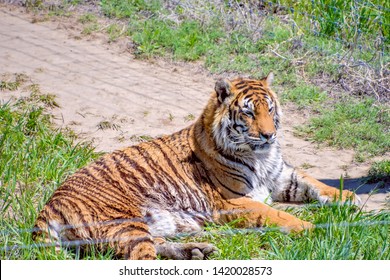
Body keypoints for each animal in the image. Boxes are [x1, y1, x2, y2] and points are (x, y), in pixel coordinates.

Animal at [33, 73, 360, 260]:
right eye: (249, 113)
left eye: (270, 109)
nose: (269, 135)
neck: (261, 156)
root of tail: (49, 205)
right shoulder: (233, 201)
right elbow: (276, 215)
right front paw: (312, 228)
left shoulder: (281, 176)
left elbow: (314, 182)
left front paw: (347, 197)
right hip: (122, 220)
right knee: (140, 257)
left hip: (144, 226)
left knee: (153, 245)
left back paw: (196, 251)